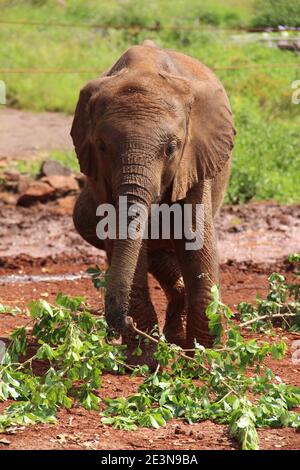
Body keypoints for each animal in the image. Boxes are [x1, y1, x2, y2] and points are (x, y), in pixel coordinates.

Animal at [71, 40, 234, 368]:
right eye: (102, 147)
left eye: (171, 148)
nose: (120, 325)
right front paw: (143, 362)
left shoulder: (195, 160)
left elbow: (196, 242)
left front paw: (204, 362)